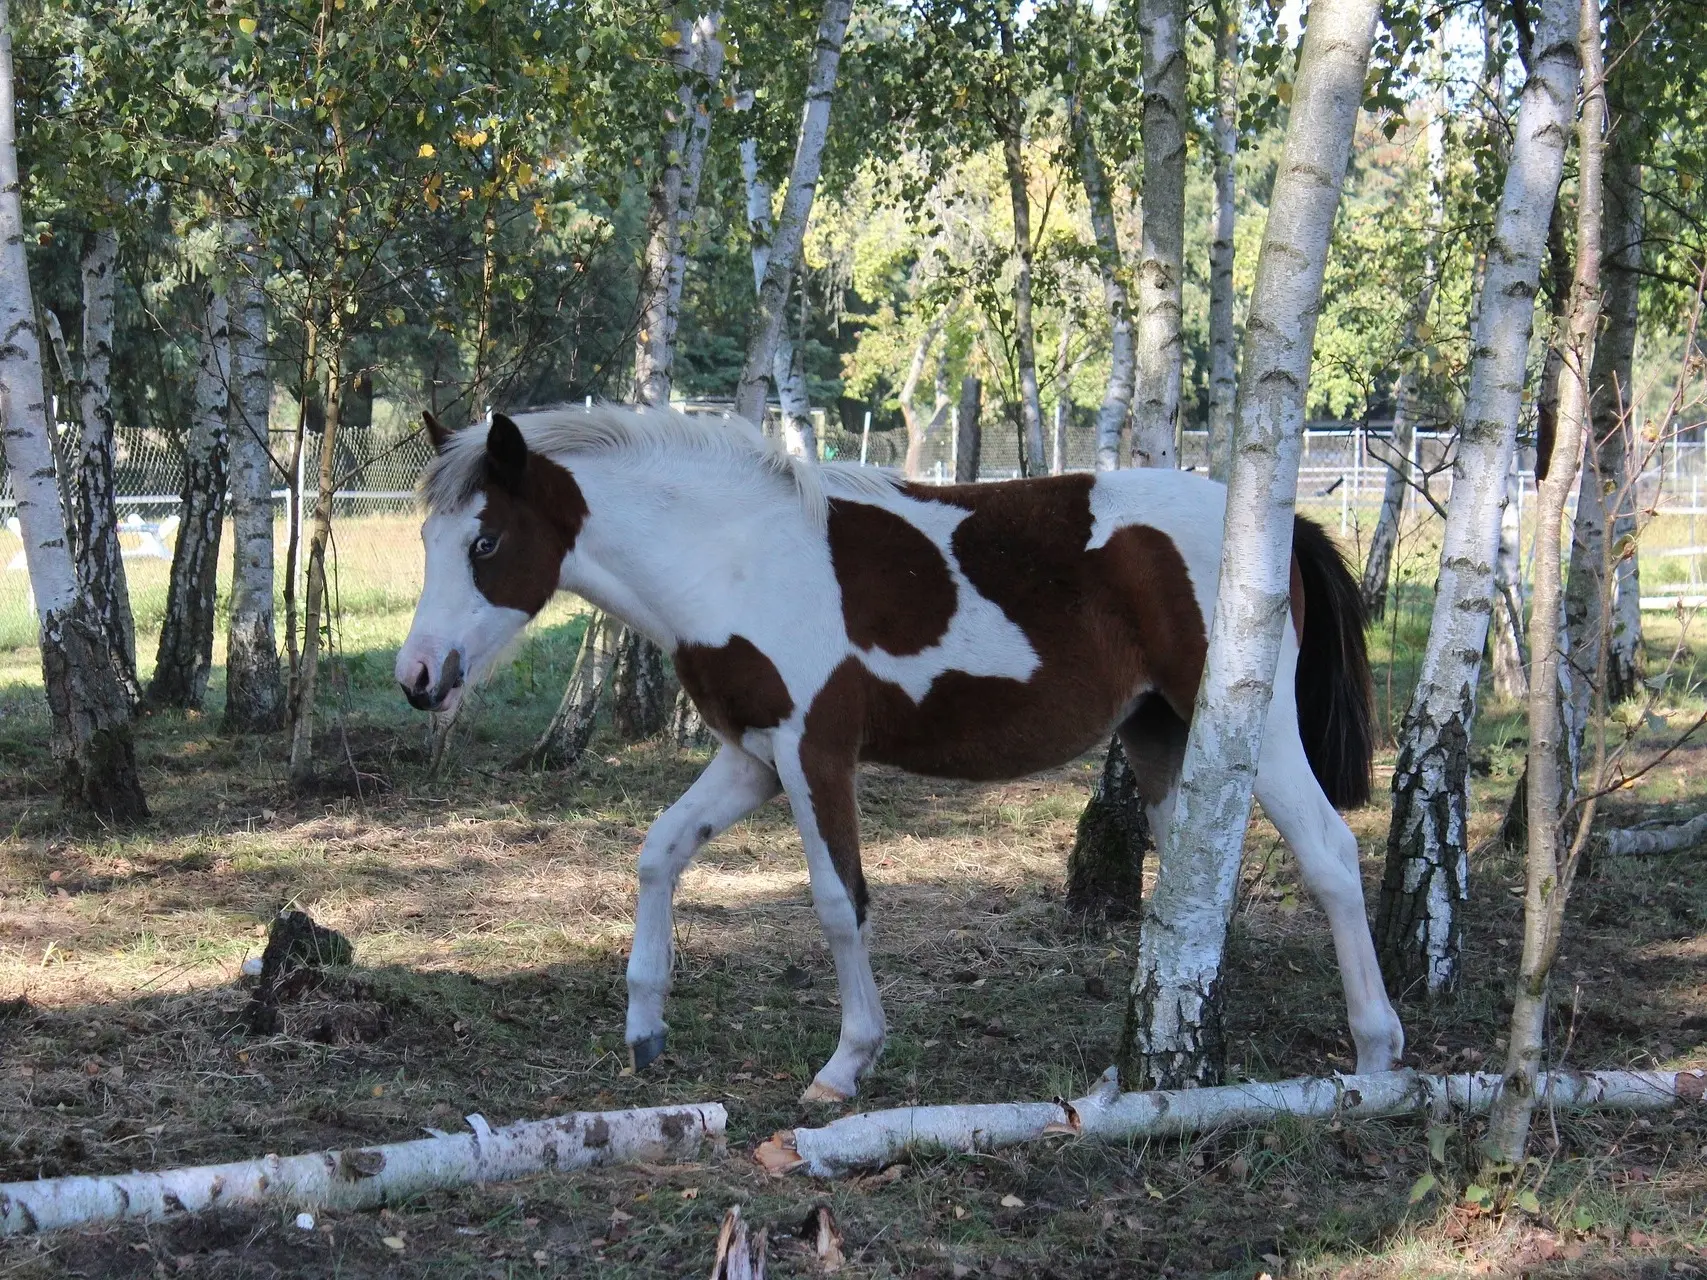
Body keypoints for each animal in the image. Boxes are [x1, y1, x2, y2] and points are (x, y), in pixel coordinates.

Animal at [396, 407, 1399, 1105]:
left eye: (485, 541)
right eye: (427, 539)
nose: (417, 677)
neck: (735, 562)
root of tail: (1279, 527)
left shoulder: (815, 752)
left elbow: (840, 902)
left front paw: (845, 1064)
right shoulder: (753, 756)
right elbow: (659, 851)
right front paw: (644, 1025)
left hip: (1256, 733)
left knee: (1329, 856)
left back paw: (1377, 1051)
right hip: (1160, 734)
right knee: (1196, 876)